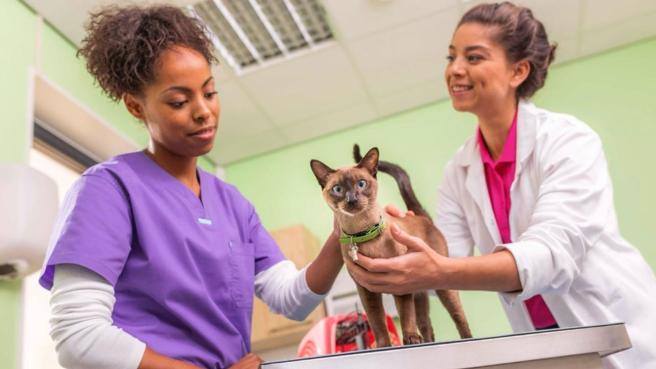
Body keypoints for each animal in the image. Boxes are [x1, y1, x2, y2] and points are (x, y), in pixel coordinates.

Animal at [308, 145, 472, 346]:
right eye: (338, 189)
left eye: (361, 184)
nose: (352, 200)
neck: (364, 234)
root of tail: (419, 216)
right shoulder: (367, 291)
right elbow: (377, 323)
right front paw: (384, 346)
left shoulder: (400, 284)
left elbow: (405, 315)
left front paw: (410, 338)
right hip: (419, 294)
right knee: (426, 325)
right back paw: (425, 342)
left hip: (443, 288)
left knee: (458, 317)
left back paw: (461, 339)